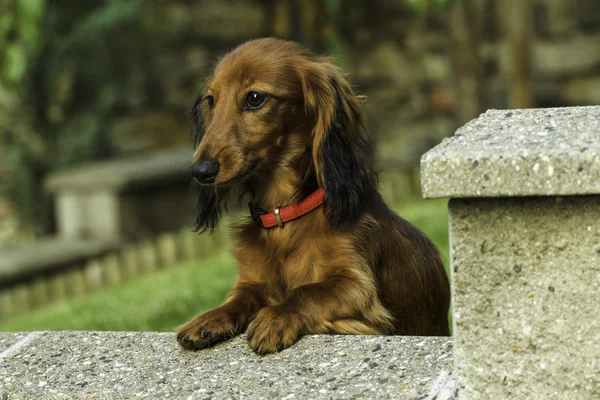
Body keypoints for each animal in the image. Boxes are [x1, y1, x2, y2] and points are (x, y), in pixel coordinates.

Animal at [177, 39, 450, 354]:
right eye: (211, 100)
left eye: (255, 98)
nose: (200, 170)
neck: (285, 216)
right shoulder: (251, 280)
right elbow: (241, 297)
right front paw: (210, 318)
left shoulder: (358, 287)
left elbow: (307, 291)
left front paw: (275, 316)